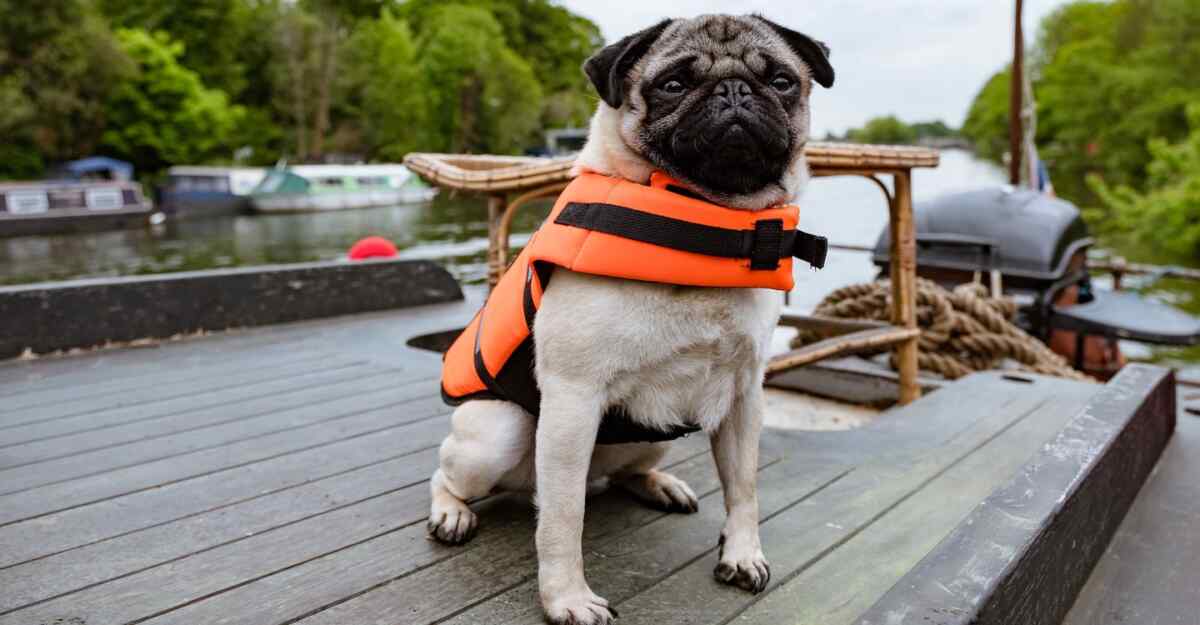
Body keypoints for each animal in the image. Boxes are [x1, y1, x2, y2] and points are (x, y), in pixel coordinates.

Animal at [429, 14, 835, 623]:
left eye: (782, 81)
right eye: (673, 84)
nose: (734, 90)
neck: (703, 223)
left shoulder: (744, 397)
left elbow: (743, 487)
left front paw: (742, 553)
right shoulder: (572, 400)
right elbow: (561, 519)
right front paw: (567, 599)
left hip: (658, 433)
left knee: (626, 470)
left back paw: (658, 484)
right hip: (497, 435)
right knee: (452, 472)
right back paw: (450, 511)